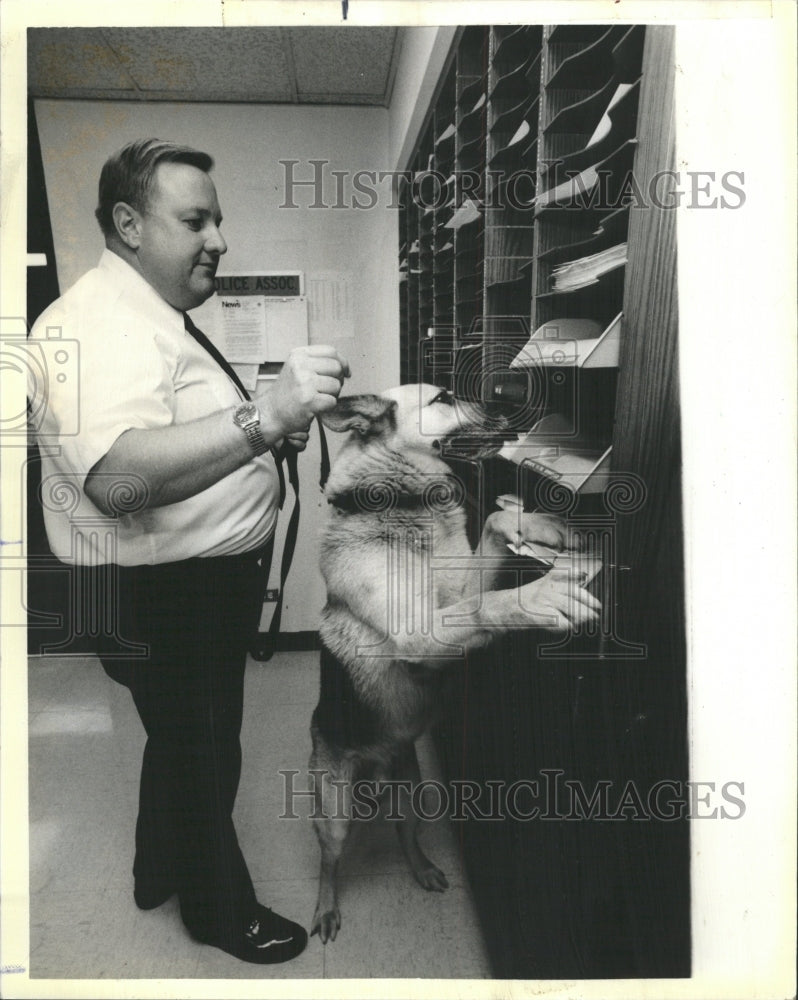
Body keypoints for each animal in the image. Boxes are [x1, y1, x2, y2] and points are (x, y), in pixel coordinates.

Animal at [310, 380, 604, 936]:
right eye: (444, 397)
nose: (511, 402)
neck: (407, 501)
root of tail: (377, 762)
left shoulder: (459, 593)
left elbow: (492, 523)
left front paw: (541, 525)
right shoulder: (419, 634)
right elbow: (489, 604)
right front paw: (538, 596)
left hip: (416, 795)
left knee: (405, 832)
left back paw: (423, 869)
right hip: (334, 813)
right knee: (329, 861)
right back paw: (325, 908)